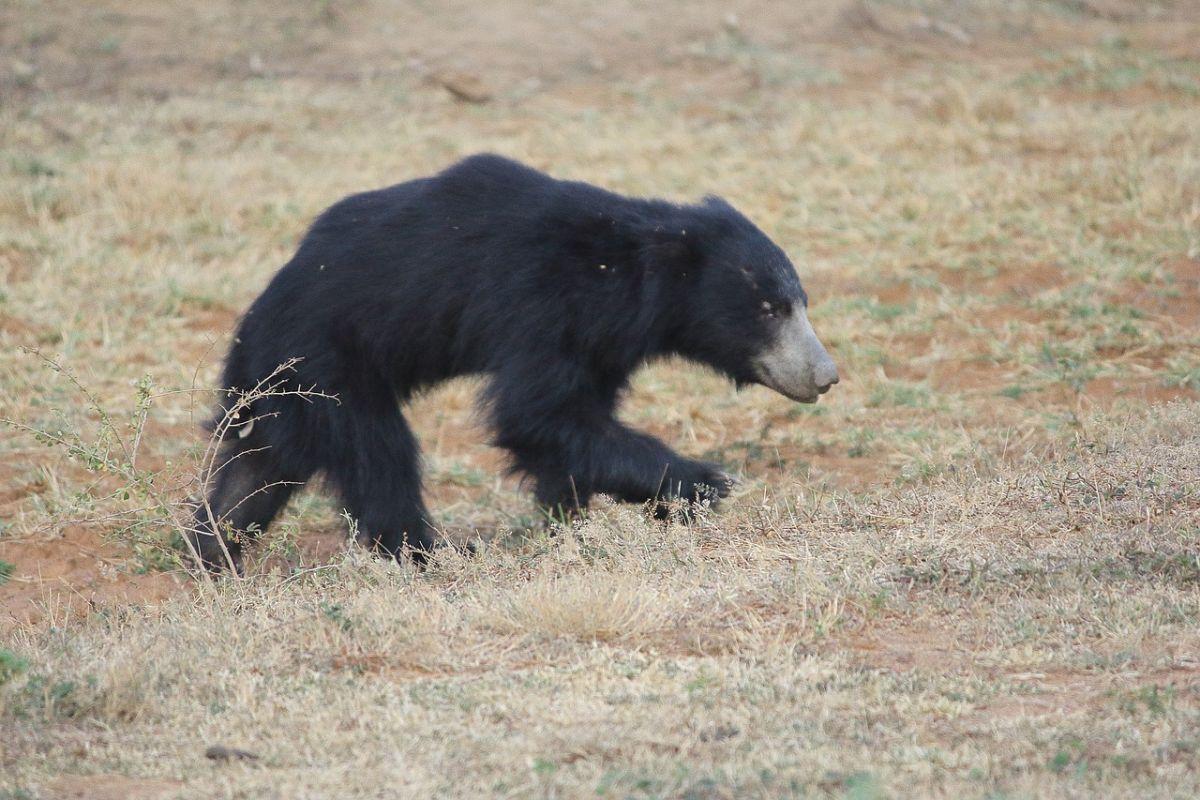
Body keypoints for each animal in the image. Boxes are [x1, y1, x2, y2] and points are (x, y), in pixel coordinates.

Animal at [192, 154, 840, 568]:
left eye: (801, 302)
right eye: (770, 308)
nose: (826, 376)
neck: (629, 272)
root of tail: (253, 328)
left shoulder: (603, 341)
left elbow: (570, 429)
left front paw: (572, 524)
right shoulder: (542, 305)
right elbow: (536, 414)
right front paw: (704, 484)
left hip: (286, 392)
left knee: (259, 469)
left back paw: (213, 551)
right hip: (331, 367)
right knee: (379, 457)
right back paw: (428, 554)